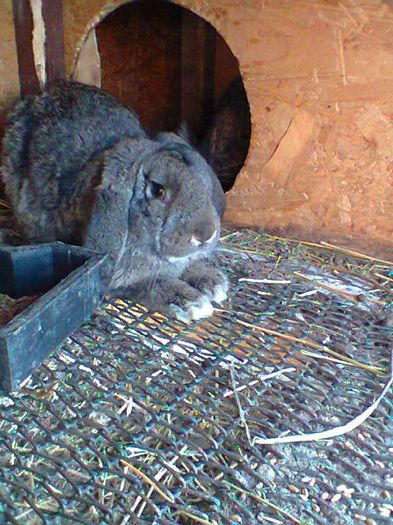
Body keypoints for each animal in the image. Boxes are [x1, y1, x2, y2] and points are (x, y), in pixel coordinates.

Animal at [0, 82, 227, 320]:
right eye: (158, 191)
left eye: (202, 182)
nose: (206, 234)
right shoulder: (124, 280)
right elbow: (152, 286)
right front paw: (192, 301)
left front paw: (213, 281)